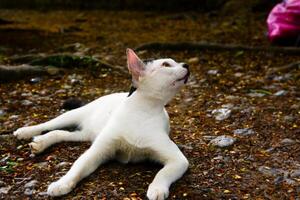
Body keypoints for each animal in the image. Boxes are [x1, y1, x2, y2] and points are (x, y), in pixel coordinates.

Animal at [14, 48, 190, 200]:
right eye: (166, 64)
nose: (186, 65)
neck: (142, 111)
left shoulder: (178, 160)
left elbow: (163, 174)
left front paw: (157, 188)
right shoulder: (97, 151)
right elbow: (76, 168)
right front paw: (62, 183)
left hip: (84, 135)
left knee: (60, 133)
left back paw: (41, 143)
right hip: (71, 115)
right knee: (47, 125)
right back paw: (26, 132)